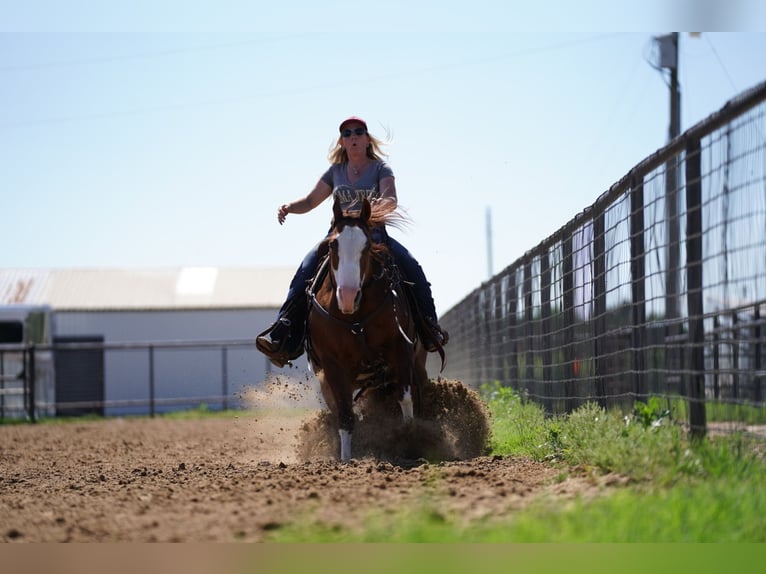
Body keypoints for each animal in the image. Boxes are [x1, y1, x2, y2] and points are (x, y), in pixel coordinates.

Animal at [306, 198, 428, 464]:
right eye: (332, 245)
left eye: (368, 245)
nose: (348, 296)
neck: (355, 318)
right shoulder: (332, 365)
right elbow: (344, 413)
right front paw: (346, 459)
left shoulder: (400, 347)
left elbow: (405, 398)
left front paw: (411, 442)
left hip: (418, 361)